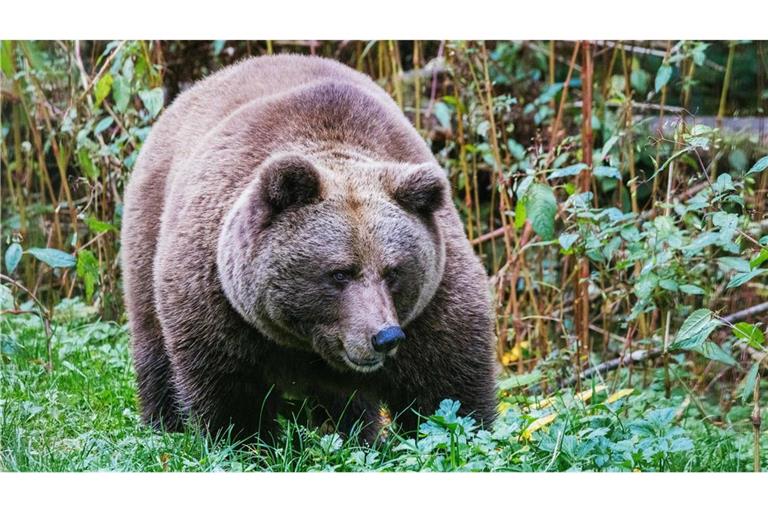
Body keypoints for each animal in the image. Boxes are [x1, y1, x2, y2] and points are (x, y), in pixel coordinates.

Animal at [120, 55, 496, 440]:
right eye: (340, 273)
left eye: (393, 272)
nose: (384, 336)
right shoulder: (217, 296)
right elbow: (229, 384)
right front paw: (245, 437)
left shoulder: (433, 299)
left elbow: (446, 384)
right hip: (148, 226)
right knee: (152, 342)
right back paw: (163, 423)